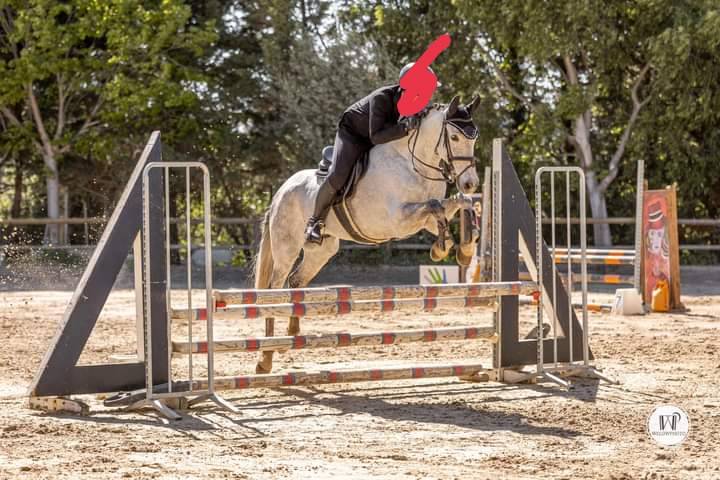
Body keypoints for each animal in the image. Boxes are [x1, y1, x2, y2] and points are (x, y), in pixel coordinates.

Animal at [253, 96, 481, 373]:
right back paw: (265, 359)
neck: (413, 165)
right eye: (455, 137)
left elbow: (459, 203)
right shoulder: (398, 220)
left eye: (475, 138)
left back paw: (293, 332)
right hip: (286, 248)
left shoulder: (423, 220)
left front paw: (464, 250)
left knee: (296, 281)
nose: (471, 183)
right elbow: (436, 206)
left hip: (322, 250)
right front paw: (442, 247)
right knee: (273, 291)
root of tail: (280, 191)